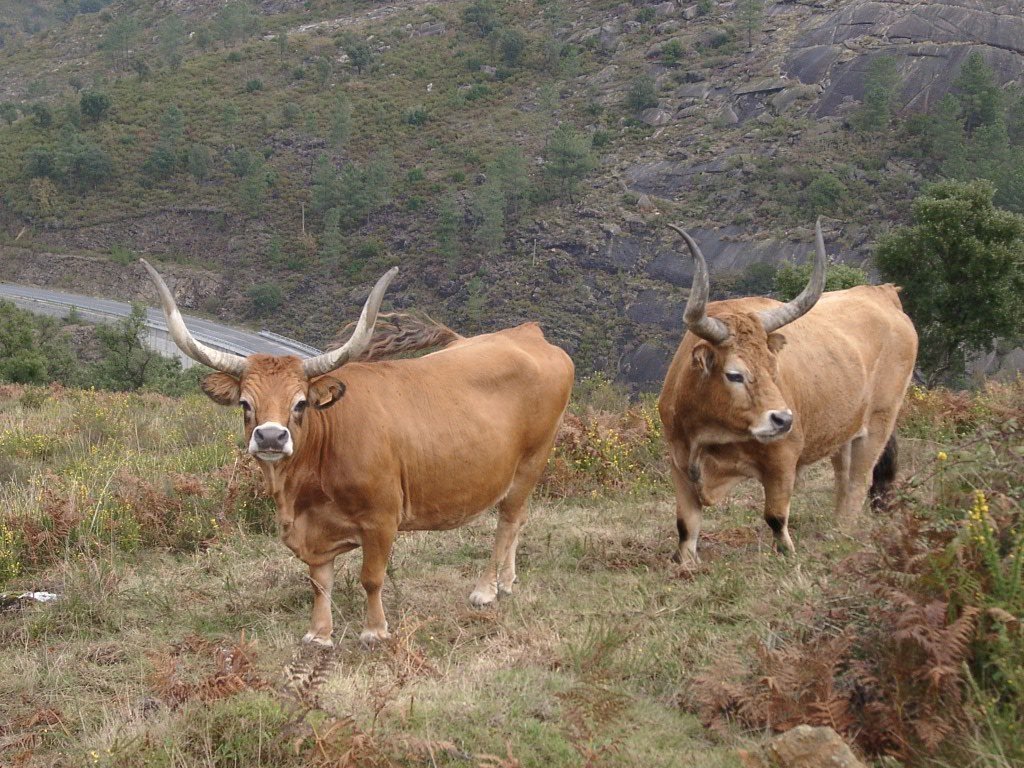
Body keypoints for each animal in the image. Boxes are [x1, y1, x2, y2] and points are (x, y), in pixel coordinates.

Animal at [140, 261, 574, 646]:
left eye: (300, 403)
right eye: (246, 404)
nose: (271, 437)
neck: (304, 489)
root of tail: (526, 332)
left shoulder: (382, 518)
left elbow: (371, 577)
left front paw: (374, 631)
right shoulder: (313, 531)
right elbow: (319, 582)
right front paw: (319, 634)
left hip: (532, 460)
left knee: (507, 522)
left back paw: (486, 590)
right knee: (518, 520)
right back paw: (507, 582)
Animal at [657, 221, 918, 564]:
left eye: (773, 367)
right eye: (734, 374)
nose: (782, 419)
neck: (711, 436)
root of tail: (882, 293)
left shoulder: (783, 460)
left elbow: (776, 517)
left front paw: (787, 555)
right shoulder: (679, 462)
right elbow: (686, 526)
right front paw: (686, 564)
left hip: (878, 424)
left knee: (858, 483)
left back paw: (842, 537)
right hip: (844, 433)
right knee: (844, 480)